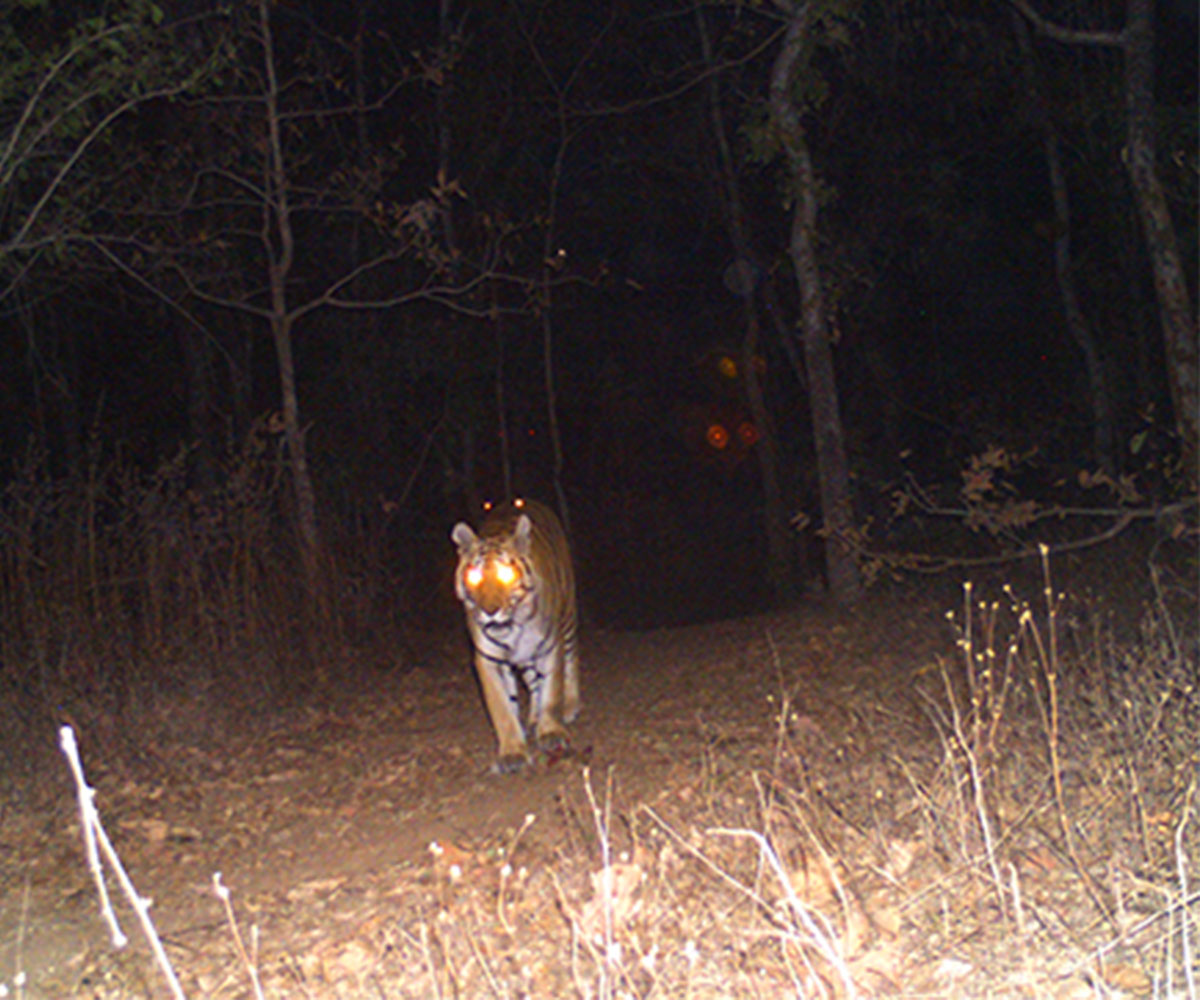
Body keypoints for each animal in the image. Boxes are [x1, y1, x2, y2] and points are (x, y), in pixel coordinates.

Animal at [451, 499, 580, 773]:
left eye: (506, 574)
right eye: (474, 575)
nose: (490, 611)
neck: (510, 627)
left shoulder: (549, 647)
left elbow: (551, 692)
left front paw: (551, 732)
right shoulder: (488, 660)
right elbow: (502, 708)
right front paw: (512, 752)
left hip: (567, 618)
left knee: (572, 659)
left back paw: (570, 706)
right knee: (532, 683)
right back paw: (532, 719)